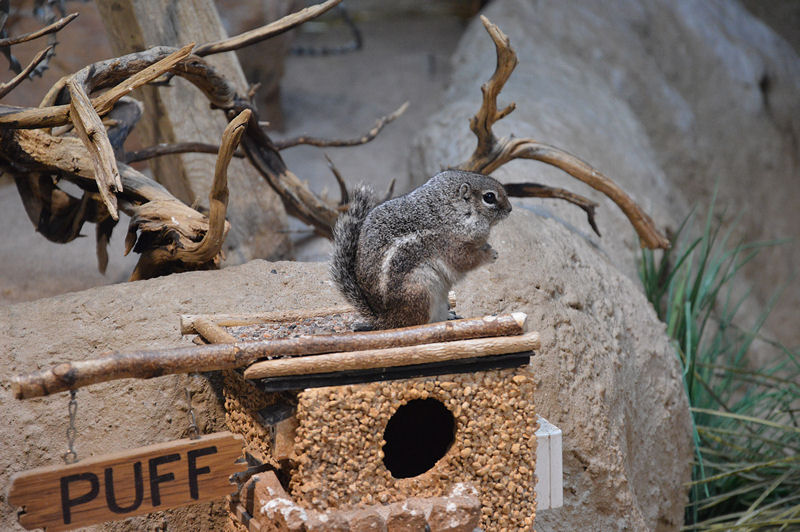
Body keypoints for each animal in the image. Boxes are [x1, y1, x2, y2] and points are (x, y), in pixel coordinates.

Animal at [332, 169, 512, 328]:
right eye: (489, 197)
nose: (510, 209)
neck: (453, 212)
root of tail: (385, 320)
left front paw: (488, 247)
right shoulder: (450, 245)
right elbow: (465, 261)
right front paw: (491, 254)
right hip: (420, 291)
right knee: (416, 323)